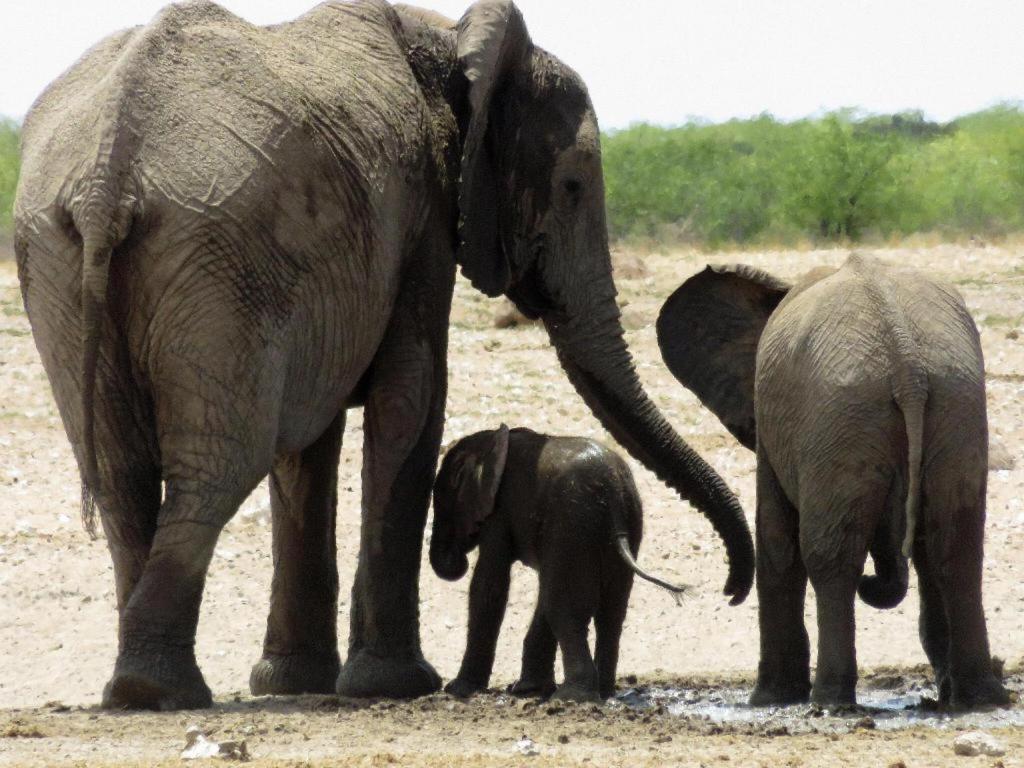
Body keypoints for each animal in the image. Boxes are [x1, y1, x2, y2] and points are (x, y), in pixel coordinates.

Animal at [432, 428, 688, 704]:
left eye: (443, 505)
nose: (458, 557)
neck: (489, 441)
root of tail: (614, 498)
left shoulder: (499, 512)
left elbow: (489, 585)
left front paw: (458, 690)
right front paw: (527, 690)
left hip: (572, 523)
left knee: (563, 607)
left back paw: (570, 697)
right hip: (623, 522)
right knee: (609, 612)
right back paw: (603, 692)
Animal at [655, 256, 1007, 712]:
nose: (728, 594)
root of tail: (907, 365)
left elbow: (777, 541)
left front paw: (769, 700)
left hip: (842, 417)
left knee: (832, 556)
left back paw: (830, 702)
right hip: (952, 406)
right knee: (955, 547)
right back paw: (980, 699)